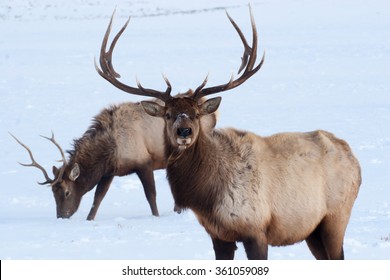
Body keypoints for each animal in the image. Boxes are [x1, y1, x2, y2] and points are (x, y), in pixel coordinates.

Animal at [95, 7, 362, 260]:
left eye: (196, 114)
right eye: (168, 114)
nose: (184, 131)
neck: (207, 197)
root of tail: (353, 158)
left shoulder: (256, 230)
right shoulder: (218, 234)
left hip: (336, 216)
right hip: (312, 231)